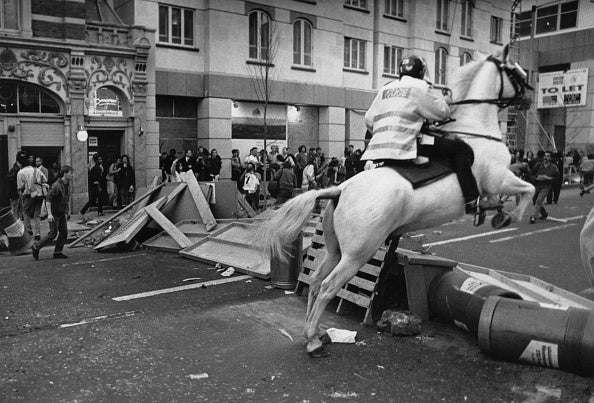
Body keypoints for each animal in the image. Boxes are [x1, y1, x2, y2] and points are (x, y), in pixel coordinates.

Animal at [256, 45, 536, 358]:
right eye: (515, 71)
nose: (528, 96)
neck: (476, 129)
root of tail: (341, 189)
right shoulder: (499, 178)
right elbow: (528, 188)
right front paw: (509, 215)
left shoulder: (498, 181)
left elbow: (523, 187)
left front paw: (496, 211)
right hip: (356, 254)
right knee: (328, 287)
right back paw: (314, 341)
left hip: (336, 250)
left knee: (315, 280)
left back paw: (314, 333)